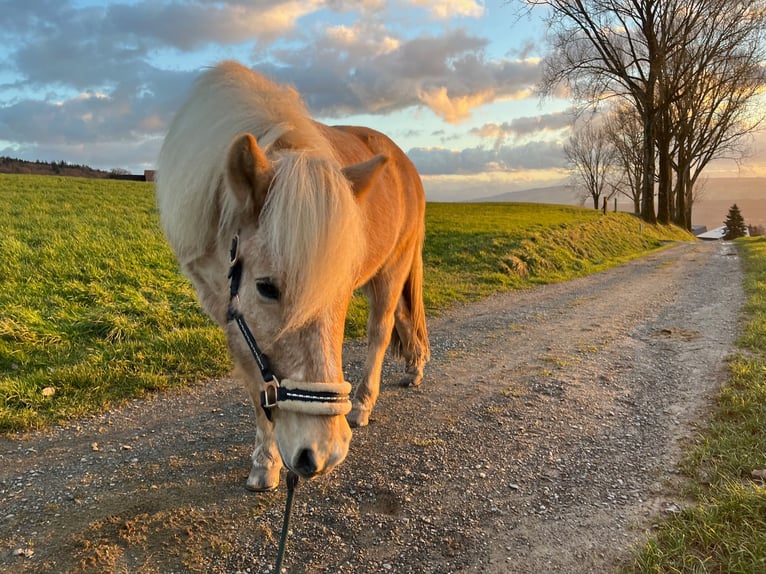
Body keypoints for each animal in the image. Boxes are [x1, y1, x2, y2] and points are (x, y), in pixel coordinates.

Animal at [156, 64, 432, 496]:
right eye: (266, 287)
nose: (322, 452)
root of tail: (403, 163)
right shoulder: (230, 313)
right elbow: (258, 388)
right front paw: (265, 463)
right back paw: (413, 368)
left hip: (393, 269)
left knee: (381, 330)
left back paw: (364, 404)